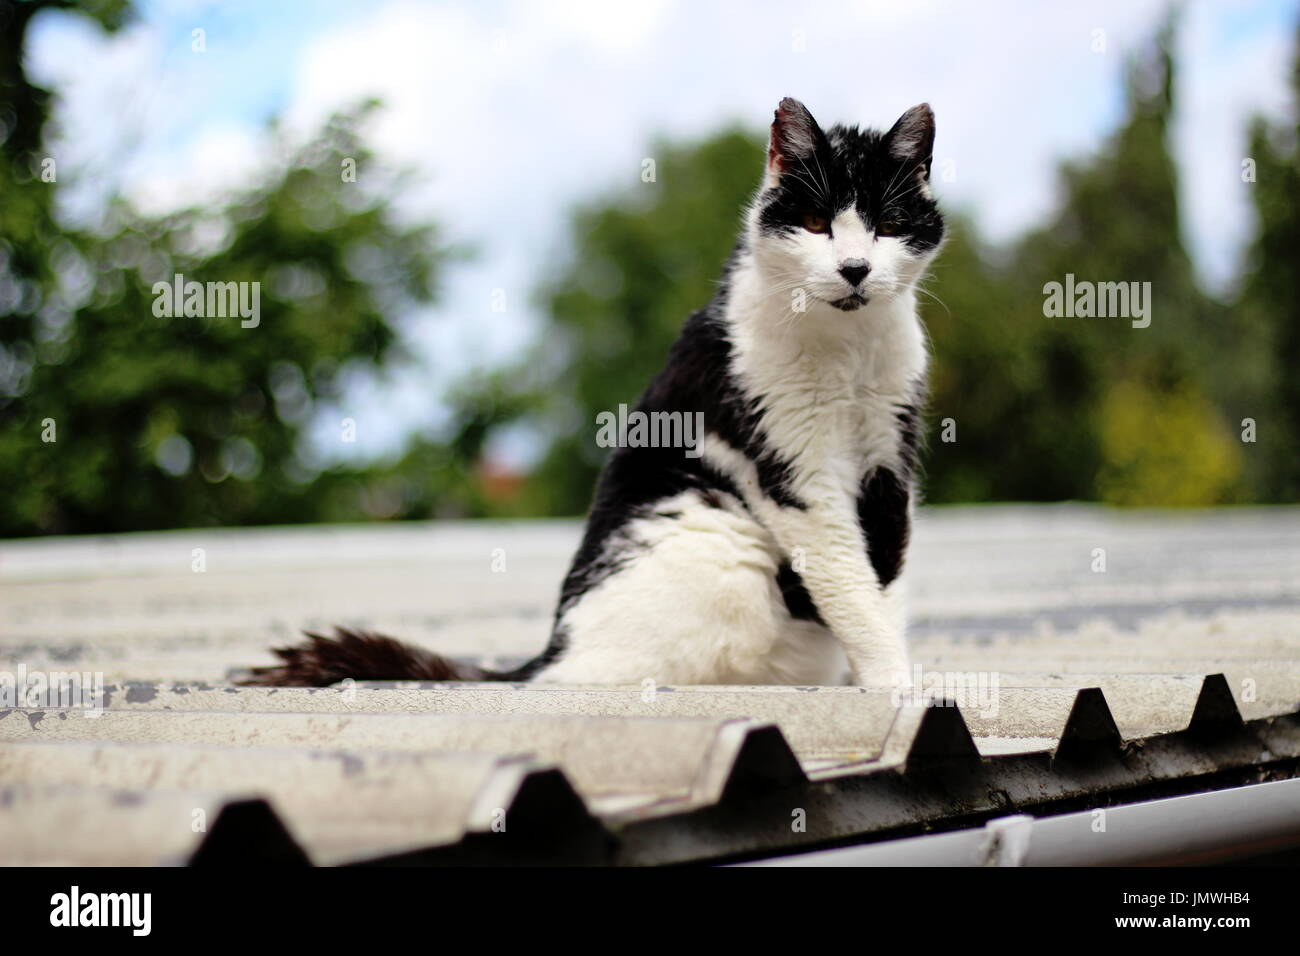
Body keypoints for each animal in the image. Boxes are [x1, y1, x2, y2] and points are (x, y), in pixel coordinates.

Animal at [239, 97, 941, 691]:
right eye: (817, 223)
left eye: (887, 226)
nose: (855, 269)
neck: (846, 348)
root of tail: (545, 659)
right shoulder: (799, 472)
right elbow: (849, 578)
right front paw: (891, 686)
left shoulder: (889, 454)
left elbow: (890, 572)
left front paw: (889, 672)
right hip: (713, 543)